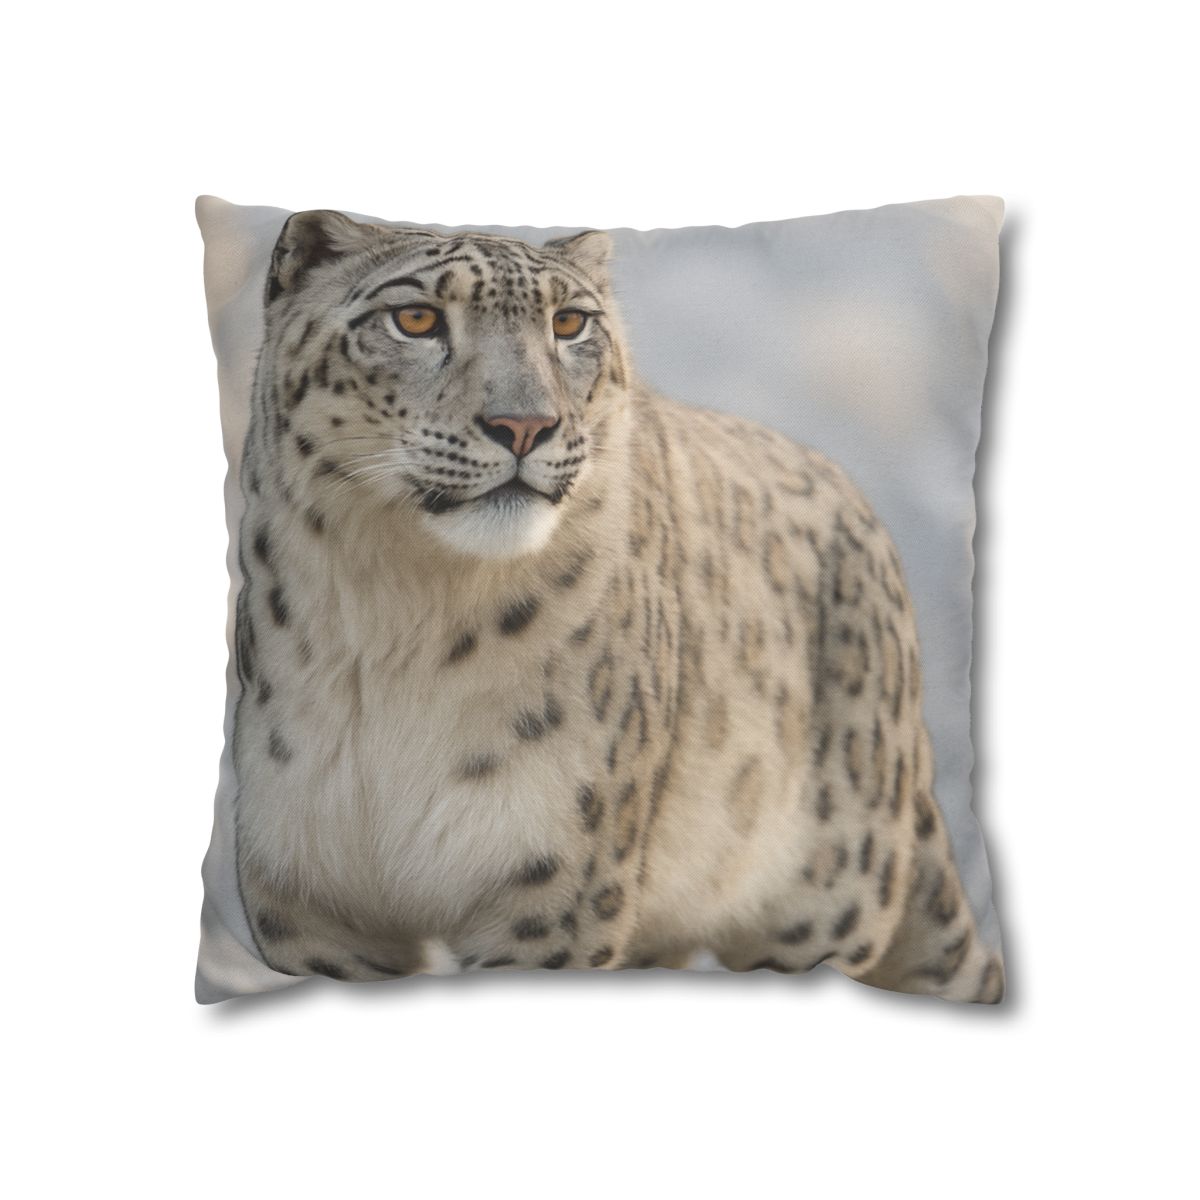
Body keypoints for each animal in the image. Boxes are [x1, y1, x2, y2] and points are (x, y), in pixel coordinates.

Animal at [229, 208, 1004, 1003]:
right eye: (415, 318)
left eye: (570, 322)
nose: (524, 425)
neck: (400, 618)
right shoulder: (313, 904)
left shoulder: (552, 893)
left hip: (819, 906)